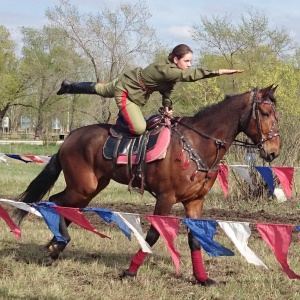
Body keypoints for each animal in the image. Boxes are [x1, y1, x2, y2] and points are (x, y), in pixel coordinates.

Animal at [15, 84, 280, 286]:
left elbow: (195, 239)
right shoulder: (165, 198)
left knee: (65, 207)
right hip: (82, 187)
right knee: (55, 202)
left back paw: (55, 246)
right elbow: (152, 235)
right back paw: (58, 244)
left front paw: (202, 278)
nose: (273, 152)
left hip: (89, 189)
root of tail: (69, 137)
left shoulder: (195, 202)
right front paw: (130, 271)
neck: (196, 142)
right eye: (265, 113)